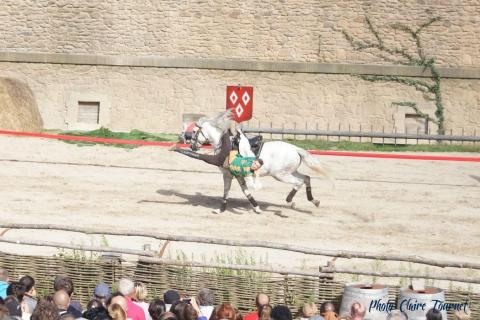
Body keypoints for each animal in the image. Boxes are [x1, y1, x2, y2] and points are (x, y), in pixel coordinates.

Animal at [188, 109, 330, 212]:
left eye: (194, 131)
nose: (192, 146)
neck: (223, 143)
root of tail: (295, 149)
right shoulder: (236, 175)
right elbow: (243, 192)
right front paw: (255, 207)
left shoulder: (228, 174)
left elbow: (230, 191)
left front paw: (221, 209)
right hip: (290, 171)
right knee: (306, 178)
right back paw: (314, 201)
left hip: (280, 175)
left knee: (298, 182)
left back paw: (290, 201)